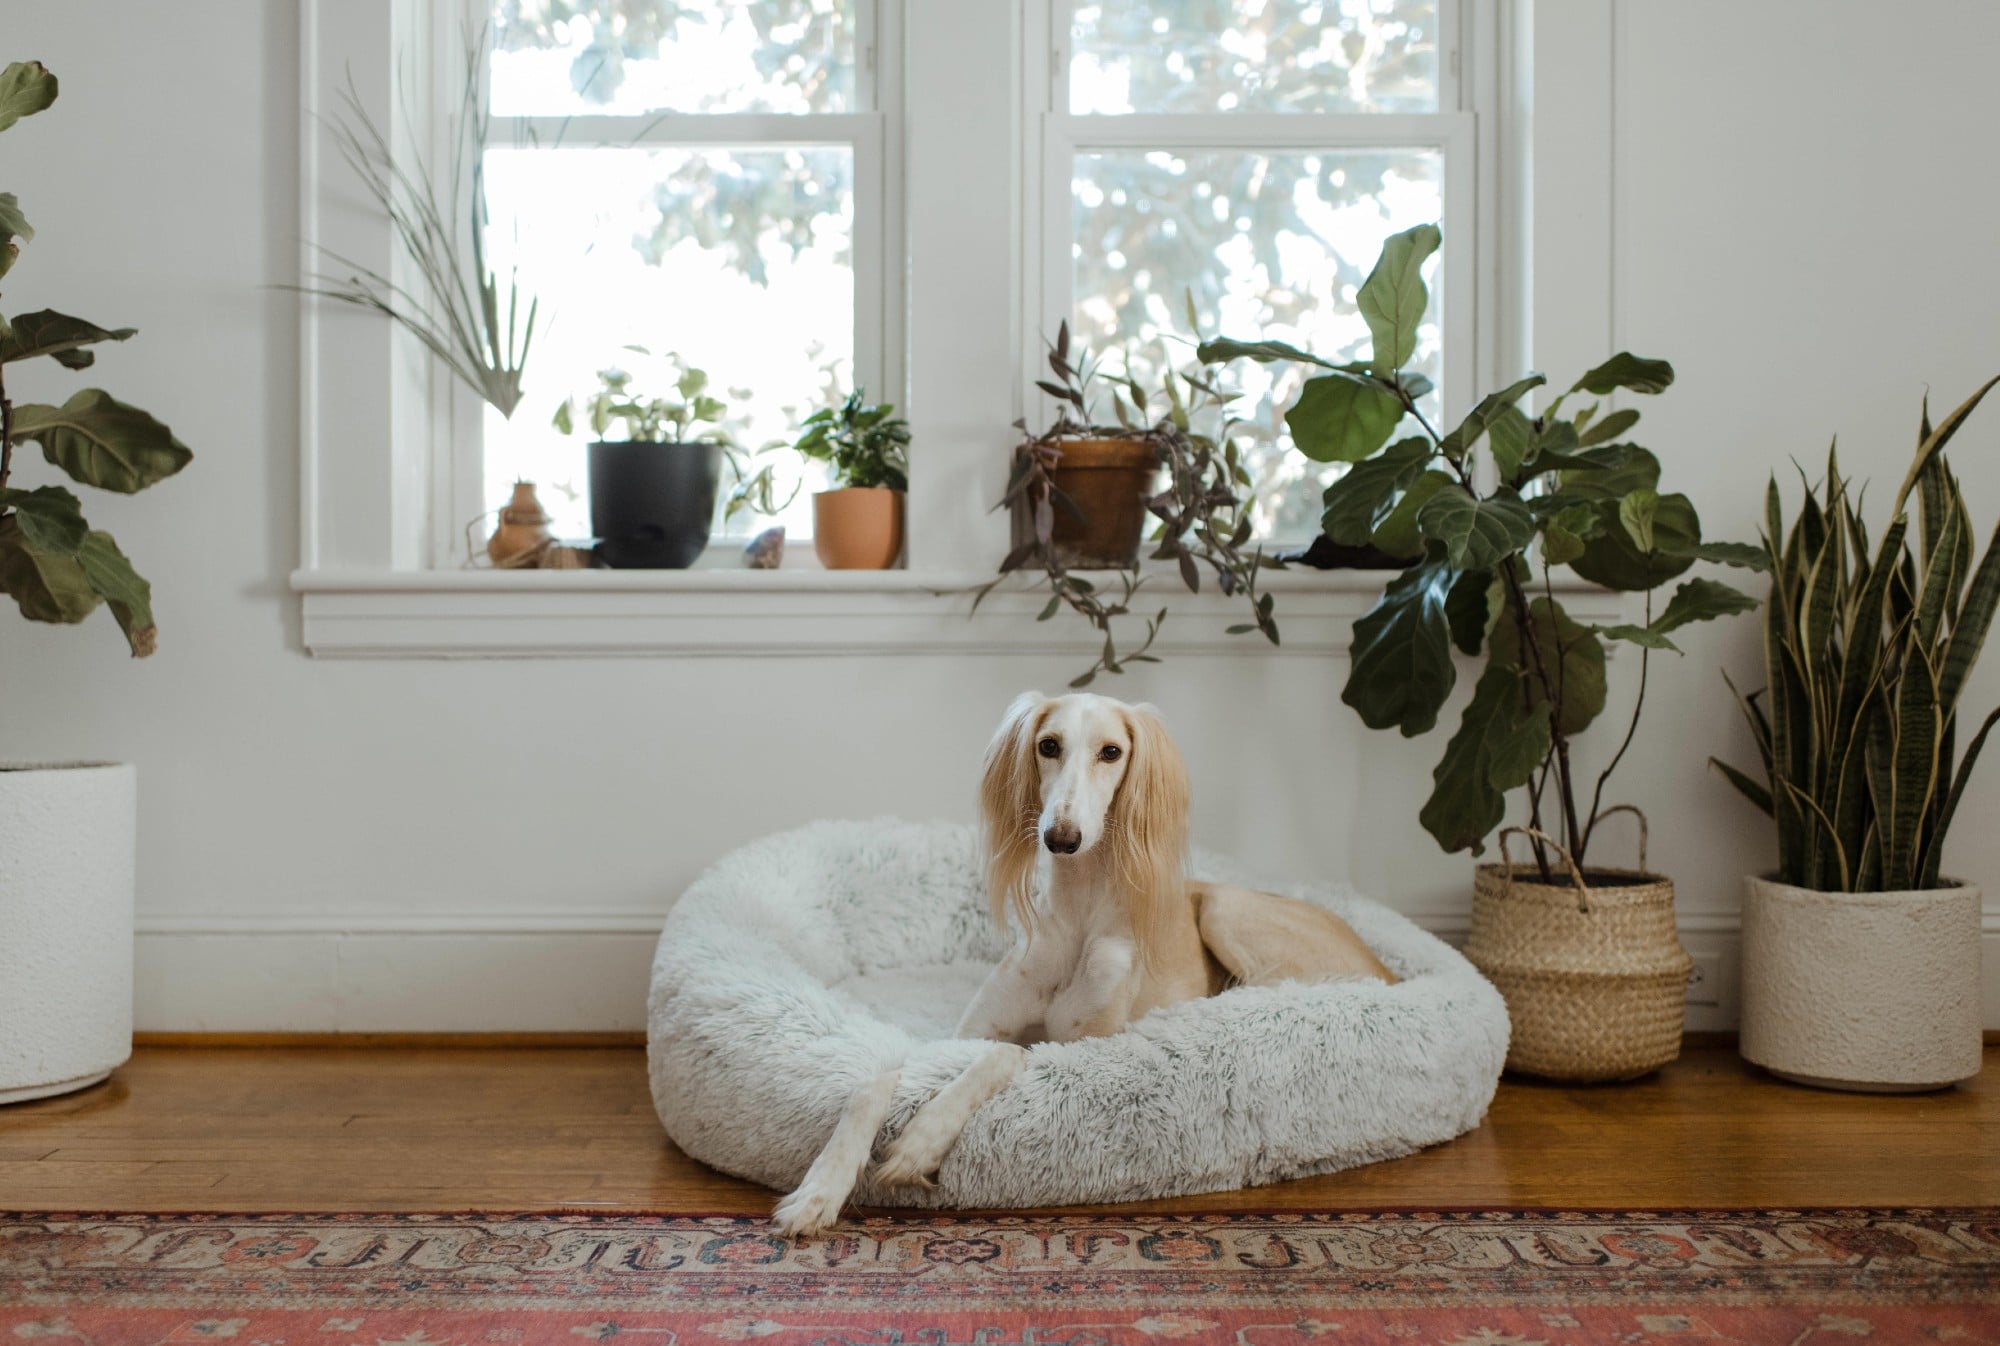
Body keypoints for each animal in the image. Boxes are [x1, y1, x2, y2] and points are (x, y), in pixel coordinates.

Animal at [772, 688, 1400, 1232]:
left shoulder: (1087, 1049)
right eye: (1048, 745)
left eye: (1111, 751)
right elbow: (875, 1082)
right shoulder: (962, 1034)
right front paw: (820, 1189)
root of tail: (1389, 970)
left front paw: (921, 1142)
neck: (1077, 920)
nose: (1062, 837)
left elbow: (1007, 1054)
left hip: (1226, 908)